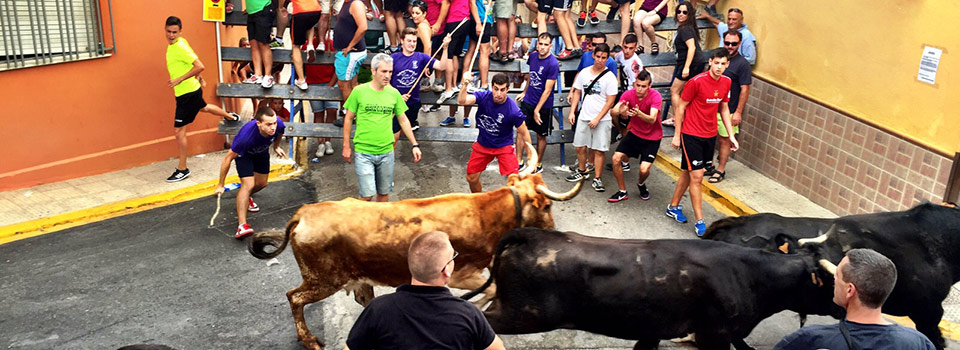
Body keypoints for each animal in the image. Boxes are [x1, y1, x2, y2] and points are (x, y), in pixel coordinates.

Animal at [248, 162, 580, 350]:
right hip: (322, 279)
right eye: (547, 206)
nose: (554, 230)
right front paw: (479, 309)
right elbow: (492, 289)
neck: (487, 214)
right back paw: (309, 341)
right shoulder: (462, 273)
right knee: (294, 297)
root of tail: (303, 213)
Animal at [462, 227, 836, 350]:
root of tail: (530, 233)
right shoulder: (714, 335)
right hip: (522, 314)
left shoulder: (653, 331)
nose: (842, 306)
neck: (749, 274)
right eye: (830, 282)